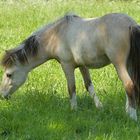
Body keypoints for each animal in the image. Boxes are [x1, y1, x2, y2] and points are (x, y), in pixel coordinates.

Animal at [0, 12, 140, 121]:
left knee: (128, 85)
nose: (3, 95)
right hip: (128, 64)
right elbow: (89, 86)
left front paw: (74, 110)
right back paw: (127, 111)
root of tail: (130, 24)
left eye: (9, 74)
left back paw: (132, 116)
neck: (56, 35)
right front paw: (99, 107)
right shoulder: (83, 65)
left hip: (119, 64)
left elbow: (71, 88)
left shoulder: (66, 65)